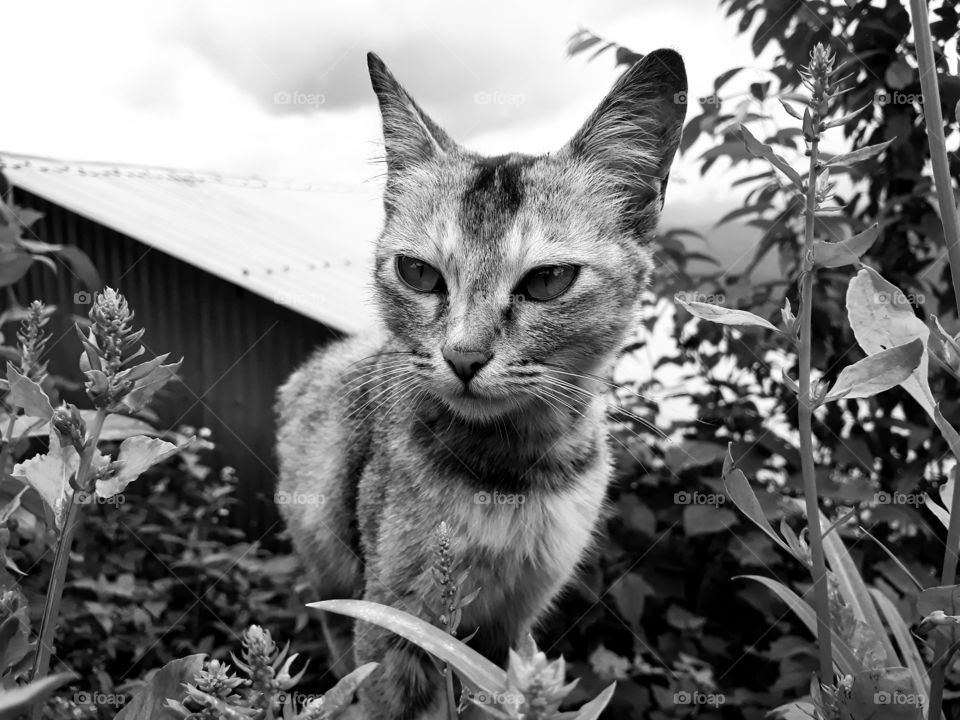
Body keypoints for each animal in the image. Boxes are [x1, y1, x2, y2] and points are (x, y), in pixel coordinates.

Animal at [274, 50, 688, 720]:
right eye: (417, 273)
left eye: (548, 280)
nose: (462, 356)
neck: (511, 472)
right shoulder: (393, 623)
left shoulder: (510, 627)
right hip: (332, 585)